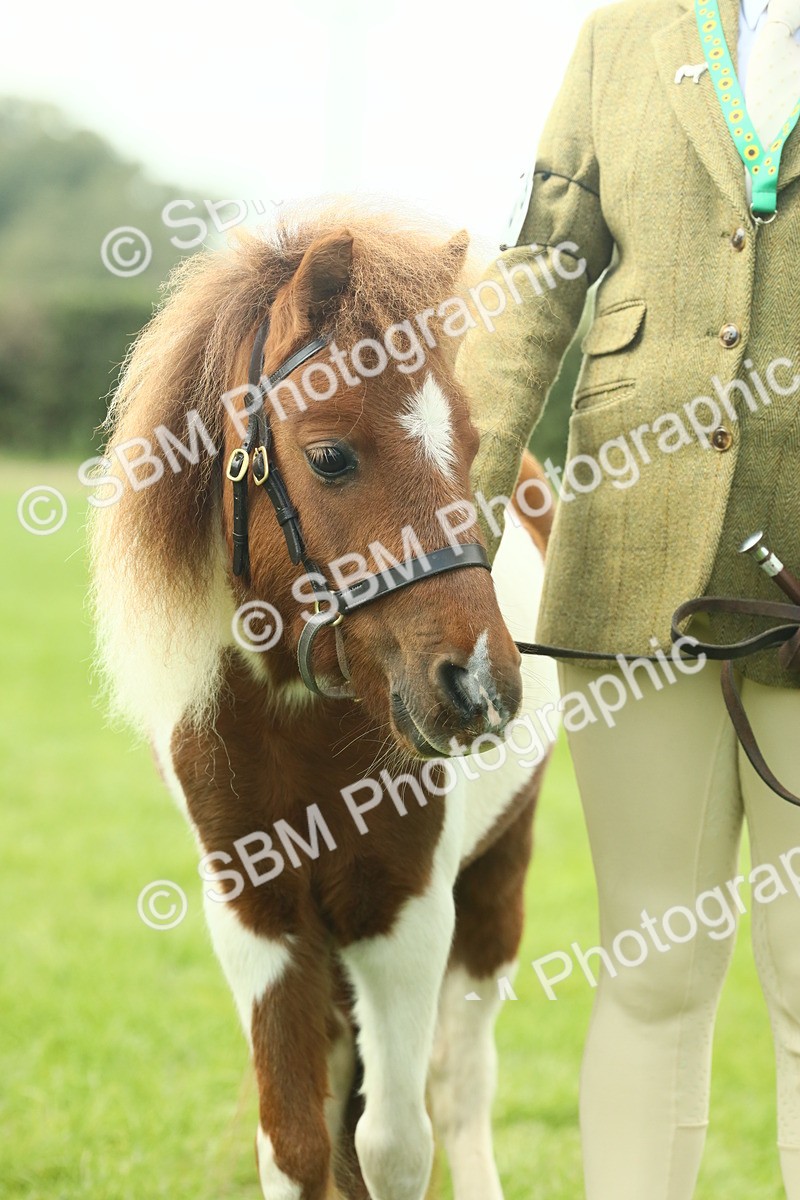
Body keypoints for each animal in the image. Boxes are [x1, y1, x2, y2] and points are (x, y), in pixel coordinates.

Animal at [89, 202, 559, 1200]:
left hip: (495, 888)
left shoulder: (407, 914)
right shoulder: (260, 920)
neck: (296, 716)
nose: (479, 684)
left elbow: (397, 1147)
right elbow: (299, 1145)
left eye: (470, 447)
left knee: (460, 1089)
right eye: (332, 457)